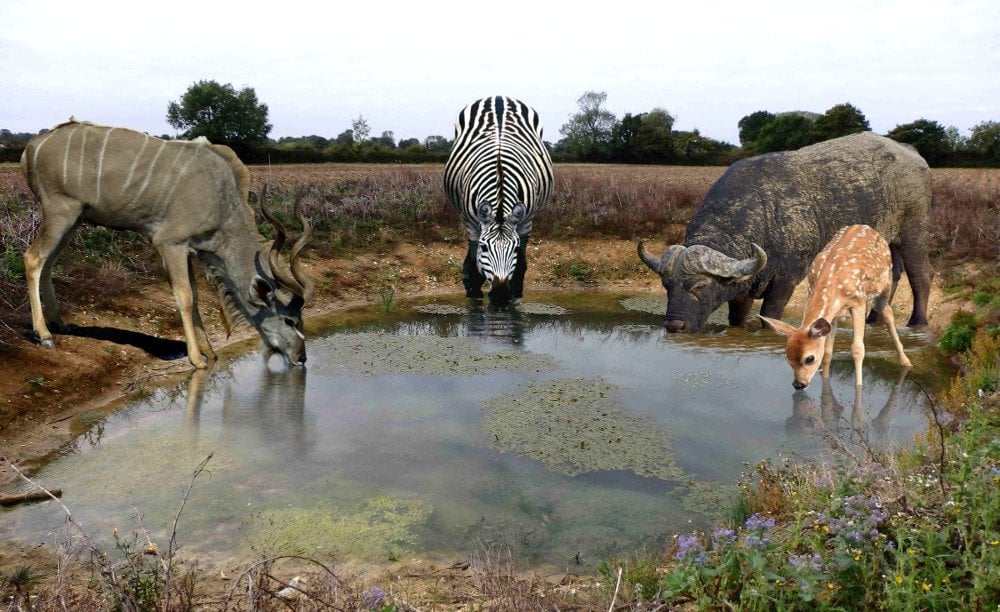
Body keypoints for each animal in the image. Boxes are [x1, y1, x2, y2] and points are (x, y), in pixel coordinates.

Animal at [446, 95, 556, 304]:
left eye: (514, 249)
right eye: (484, 247)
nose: (500, 294)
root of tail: (498, 97)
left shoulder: (526, 221)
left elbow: (520, 264)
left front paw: (515, 293)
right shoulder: (471, 223)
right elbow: (474, 264)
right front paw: (474, 293)